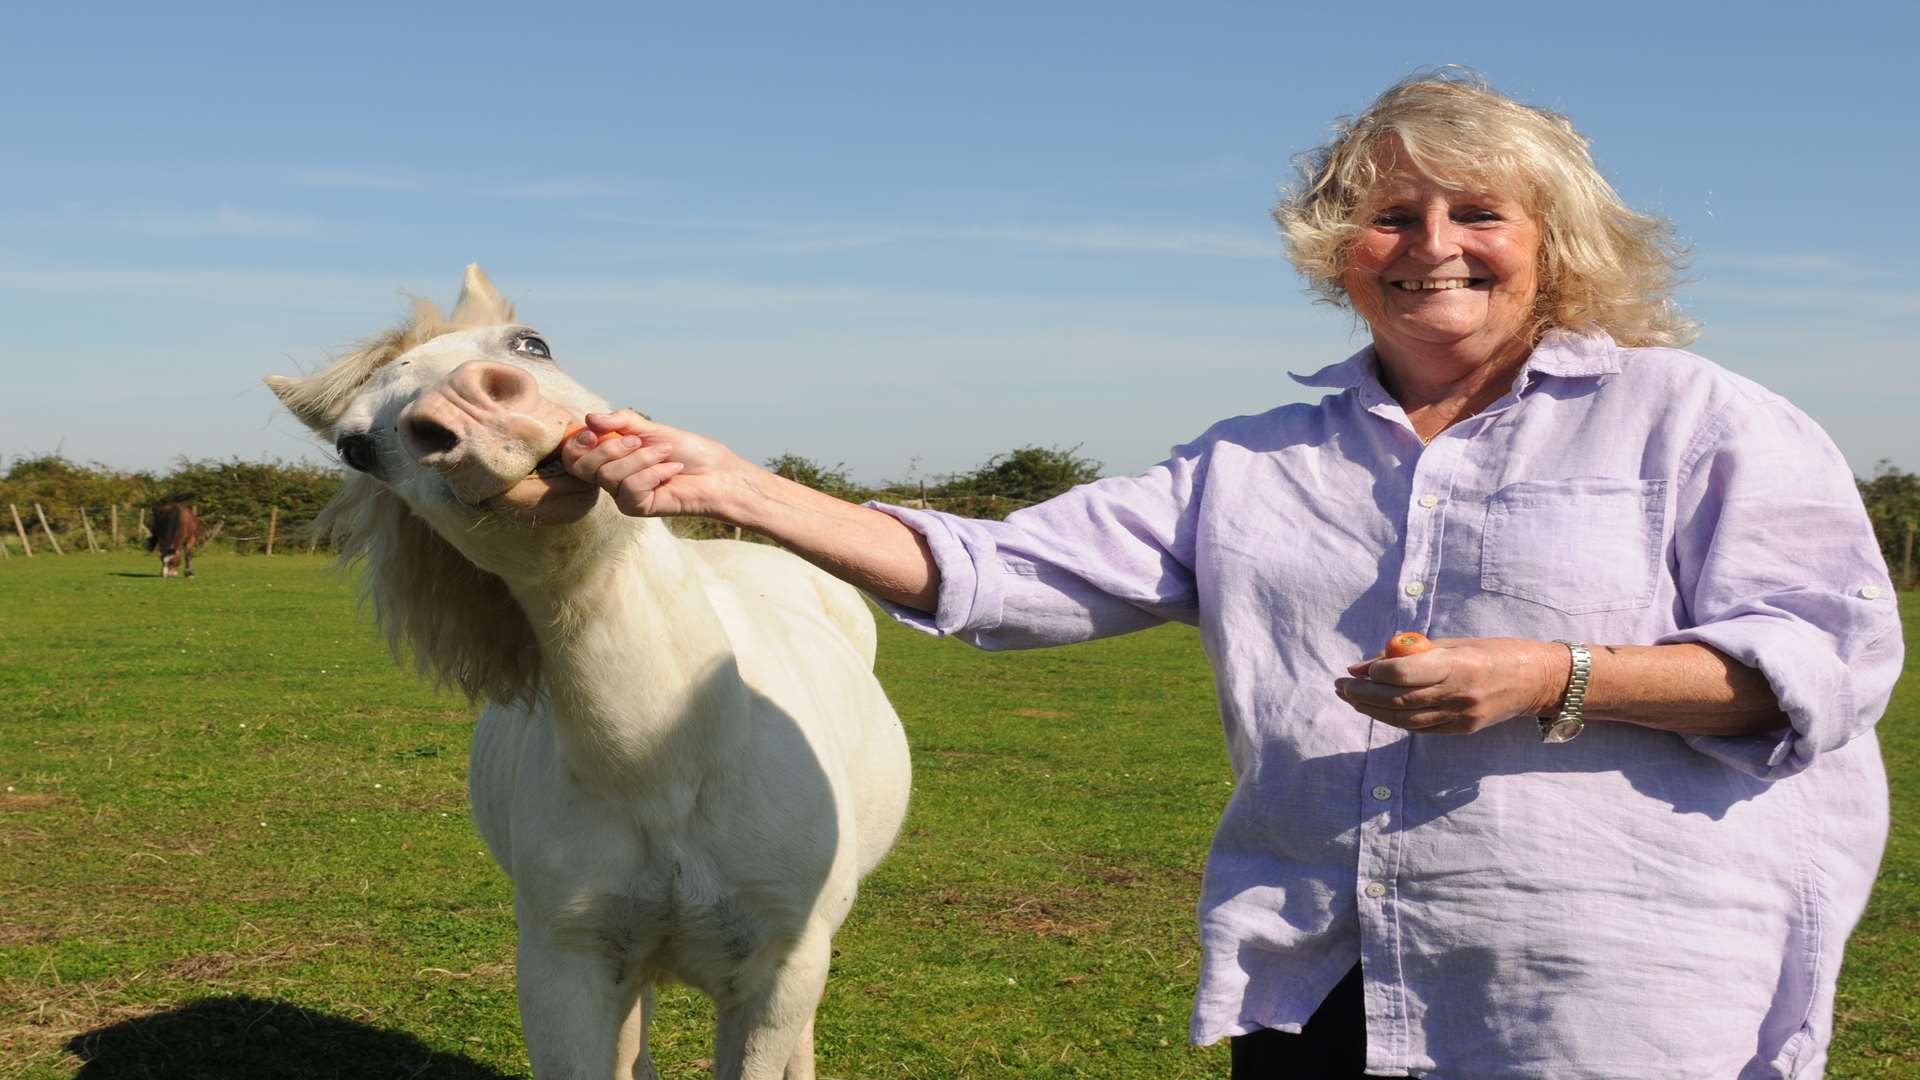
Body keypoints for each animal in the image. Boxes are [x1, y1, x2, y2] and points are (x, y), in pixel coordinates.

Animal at [264, 263, 913, 1076]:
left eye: (532, 343)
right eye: (357, 449)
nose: (468, 409)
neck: (667, 768)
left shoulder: (777, 973)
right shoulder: (566, 972)